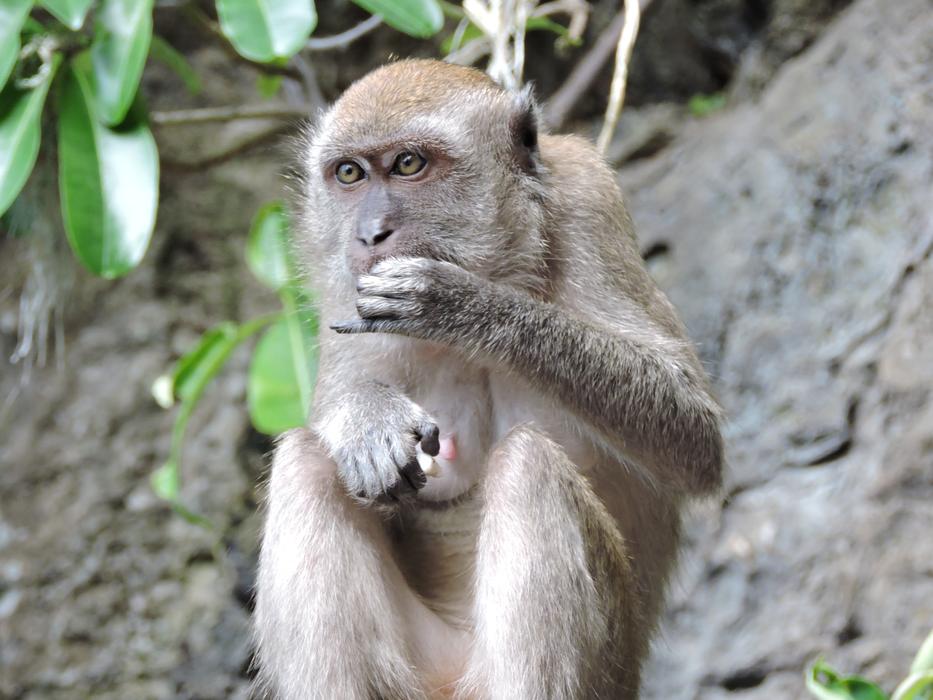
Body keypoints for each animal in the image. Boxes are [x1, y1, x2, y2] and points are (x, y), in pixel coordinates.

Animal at [253, 59, 724, 700]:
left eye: (408, 164)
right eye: (349, 173)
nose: (369, 233)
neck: (503, 260)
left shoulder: (589, 200)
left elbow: (693, 435)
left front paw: (460, 305)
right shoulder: (339, 282)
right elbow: (337, 414)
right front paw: (365, 420)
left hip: (607, 669)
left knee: (529, 464)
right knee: (305, 462)